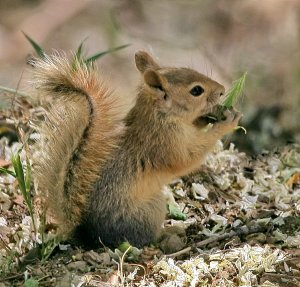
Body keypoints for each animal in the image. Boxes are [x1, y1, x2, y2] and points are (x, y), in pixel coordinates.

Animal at [31, 50, 241, 249]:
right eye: (196, 90)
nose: (222, 91)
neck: (160, 116)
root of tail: (89, 236)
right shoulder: (166, 144)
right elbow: (191, 157)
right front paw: (227, 121)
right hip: (150, 211)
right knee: (148, 238)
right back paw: (171, 231)